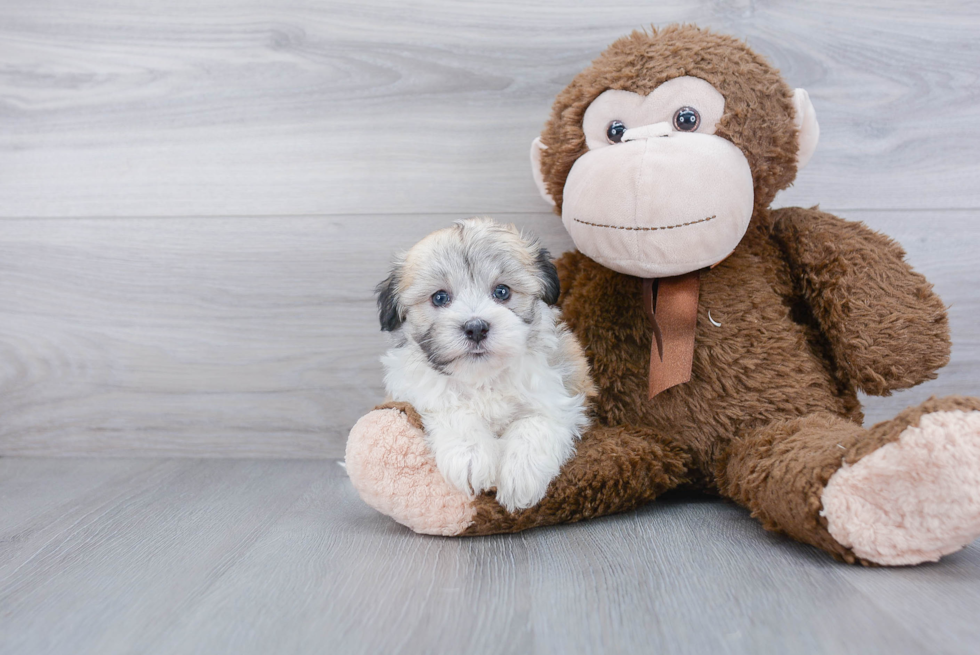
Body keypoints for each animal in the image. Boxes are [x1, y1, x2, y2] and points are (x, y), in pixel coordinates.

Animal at [376, 218, 592, 510]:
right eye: (440, 298)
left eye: (502, 292)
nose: (476, 327)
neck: (483, 378)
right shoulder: (418, 391)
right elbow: (452, 409)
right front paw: (470, 455)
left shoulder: (559, 394)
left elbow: (537, 422)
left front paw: (521, 472)